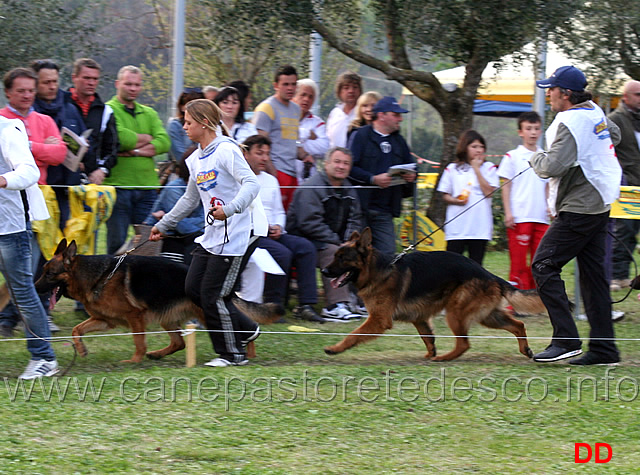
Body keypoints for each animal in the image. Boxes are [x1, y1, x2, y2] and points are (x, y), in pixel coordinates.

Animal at [35, 240, 282, 362]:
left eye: (49, 274)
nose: (34, 288)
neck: (98, 276)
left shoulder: (134, 317)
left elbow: (138, 342)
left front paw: (134, 361)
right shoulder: (105, 321)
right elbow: (76, 329)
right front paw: (82, 349)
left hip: (205, 310)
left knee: (239, 327)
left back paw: (247, 352)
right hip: (168, 318)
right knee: (180, 343)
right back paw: (158, 354)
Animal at [322, 229, 544, 362]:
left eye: (342, 258)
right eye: (335, 256)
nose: (323, 271)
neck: (378, 270)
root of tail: (489, 274)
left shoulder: (378, 319)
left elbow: (353, 335)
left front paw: (335, 348)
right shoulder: (419, 318)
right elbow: (427, 337)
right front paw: (429, 353)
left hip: (455, 313)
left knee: (464, 343)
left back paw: (444, 358)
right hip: (488, 316)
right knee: (518, 325)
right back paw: (525, 350)